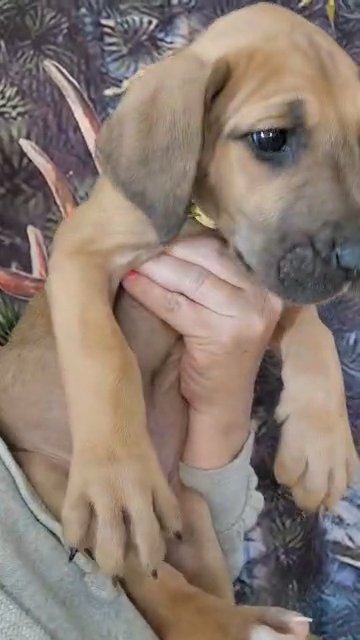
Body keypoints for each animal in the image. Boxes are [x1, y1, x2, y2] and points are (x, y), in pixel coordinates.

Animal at [0, 3, 360, 584]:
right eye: (270, 139)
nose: (356, 259)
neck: (204, 226)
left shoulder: (266, 275)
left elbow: (314, 327)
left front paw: (322, 445)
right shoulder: (80, 251)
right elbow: (105, 355)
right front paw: (117, 487)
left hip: (193, 521)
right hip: (51, 476)